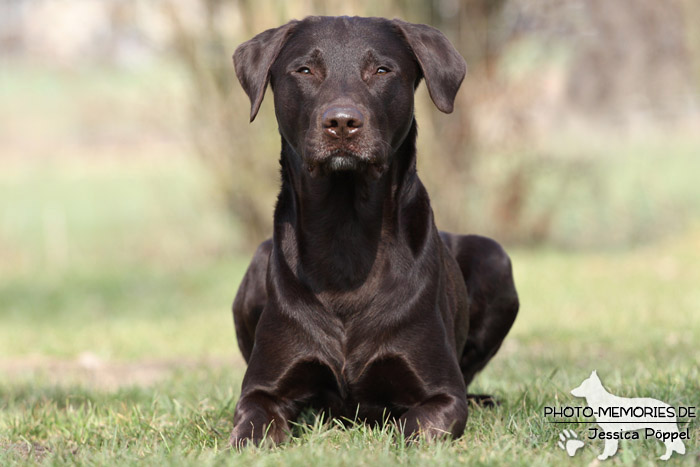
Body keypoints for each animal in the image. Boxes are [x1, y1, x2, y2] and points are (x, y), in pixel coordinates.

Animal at [230, 16, 520, 448]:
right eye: (305, 70)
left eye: (382, 70)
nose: (342, 122)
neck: (346, 232)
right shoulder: (263, 390)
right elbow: (250, 427)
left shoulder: (442, 395)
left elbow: (416, 427)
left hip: (494, 258)